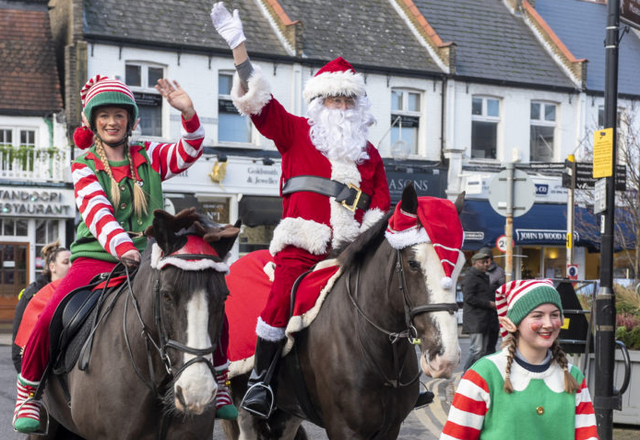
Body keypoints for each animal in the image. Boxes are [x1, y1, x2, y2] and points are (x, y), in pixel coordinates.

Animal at [222, 184, 462, 438]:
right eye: (413, 264)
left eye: (458, 265)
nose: (446, 358)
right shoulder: (344, 428)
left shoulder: (391, 427)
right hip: (243, 407)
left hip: (288, 412)